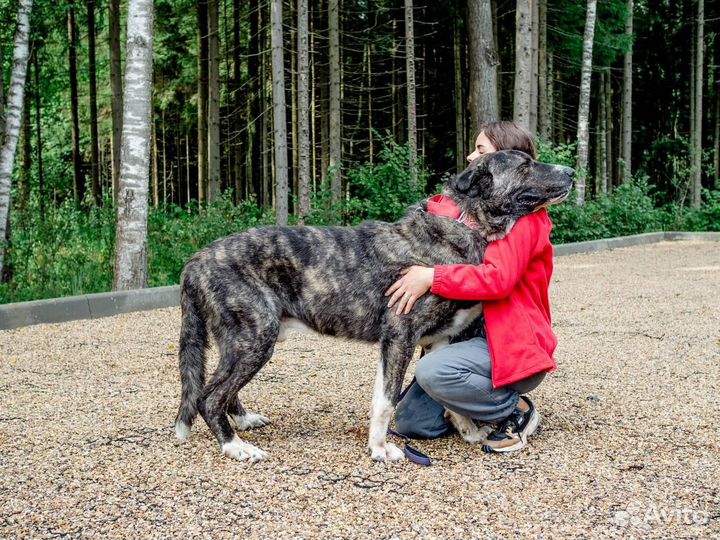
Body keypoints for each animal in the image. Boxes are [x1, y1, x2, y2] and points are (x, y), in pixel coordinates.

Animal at [174, 152, 572, 464]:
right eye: (525, 164)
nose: (570, 171)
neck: (466, 224)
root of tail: (194, 262)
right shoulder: (399, 336)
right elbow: (386, 400)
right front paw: (380, 449)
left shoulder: (437, 341)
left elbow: (439, 395)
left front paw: (468, 430)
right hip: (254, 338)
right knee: (209, 396)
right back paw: (235, 446)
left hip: (242, 341)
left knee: (223, 390)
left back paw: (242, 422)